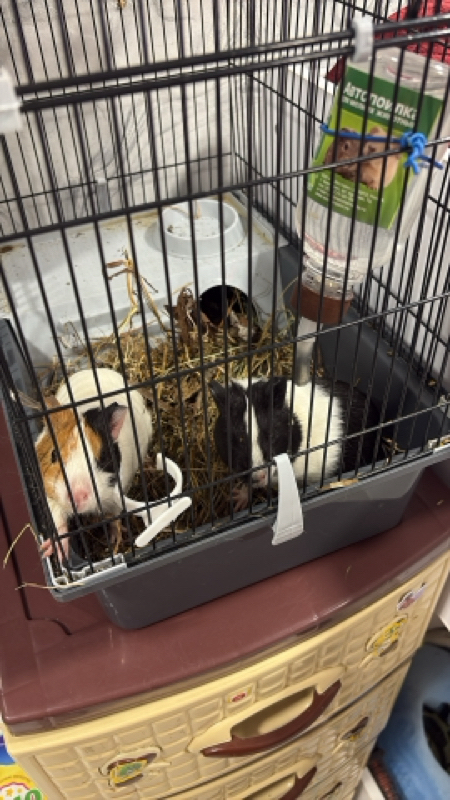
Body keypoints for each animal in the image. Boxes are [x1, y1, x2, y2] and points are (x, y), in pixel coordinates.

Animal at [36, 368, 153, 561]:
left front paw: (114, 539)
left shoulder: (116, 495)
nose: (76, 496)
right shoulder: (49, 494)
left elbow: (114, 517)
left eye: (103, 459)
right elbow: (59, 521)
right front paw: (51, 552)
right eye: (53, 455)